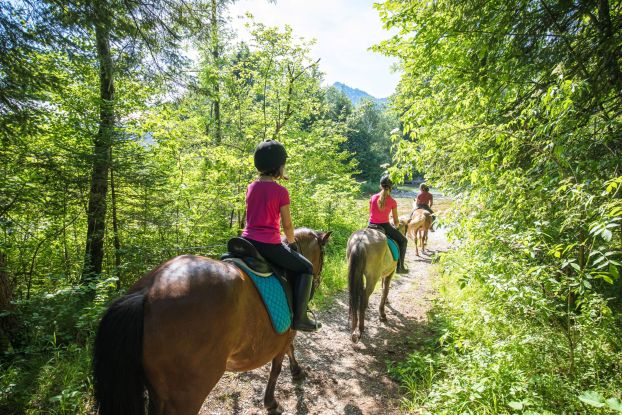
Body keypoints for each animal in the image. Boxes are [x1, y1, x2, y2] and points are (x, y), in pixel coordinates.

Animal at [92, 228, 332, 415]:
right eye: (323, 254)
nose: (318, 281)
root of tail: (147, 292)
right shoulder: (284, 337)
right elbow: (278, 366)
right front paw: (273, 401)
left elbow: (288, 351)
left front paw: (296, 372)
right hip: (186, 395)